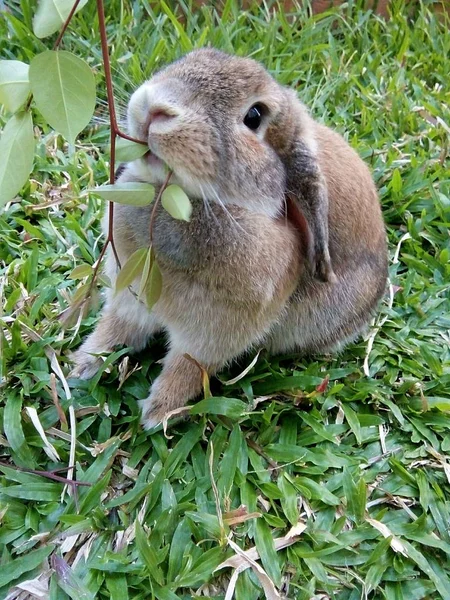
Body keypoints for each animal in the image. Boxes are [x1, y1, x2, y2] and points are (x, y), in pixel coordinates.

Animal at [70, 49, 386, 428]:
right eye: (192, 56)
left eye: (254, 116)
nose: (155, 107)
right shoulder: (128, 299)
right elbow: (112, 331)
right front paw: (80, 366)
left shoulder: (213, 335)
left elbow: (187, 369)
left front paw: (157, 413)